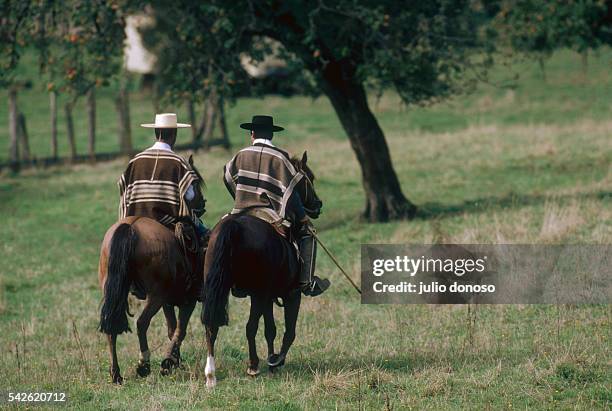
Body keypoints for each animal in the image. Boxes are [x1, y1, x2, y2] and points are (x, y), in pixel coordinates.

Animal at [98, 156, 206, 384]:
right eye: (195, 183)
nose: (202, 204)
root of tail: (131, 226)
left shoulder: (168, 301)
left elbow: (172, 329)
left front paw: (174, 360)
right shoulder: (187, 300)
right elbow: (180, 330)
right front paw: (168, 362)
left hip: (116, 292)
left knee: (111, 329)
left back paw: (116, 373)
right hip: (155, 295)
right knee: (141, 323)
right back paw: (144, 364)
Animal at [202, 153, 326, 388]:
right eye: (309, 178)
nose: (318, 204)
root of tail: (233, 226)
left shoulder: (266, 296)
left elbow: (270, 330)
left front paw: (272, 361)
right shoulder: (290, 294)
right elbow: (288, 332)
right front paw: (276, 360)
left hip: (220, 289)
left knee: (211, 324)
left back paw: (211, 374)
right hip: (260, 294)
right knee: (250, 326)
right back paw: (253, 365)